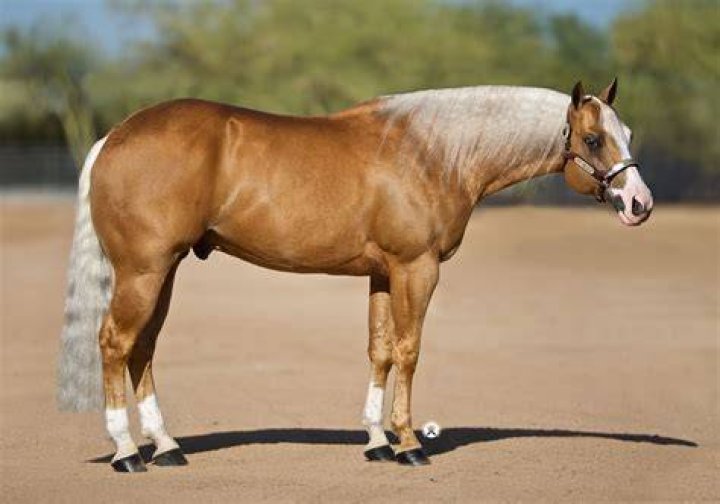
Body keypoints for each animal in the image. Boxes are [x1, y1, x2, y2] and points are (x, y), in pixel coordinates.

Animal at [57, 79, 653, 472]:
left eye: (626, 132)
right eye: (594, 140)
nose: (639, 204)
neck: (432, 152)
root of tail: (113, 136)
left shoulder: (384, 274)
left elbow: (381, 351)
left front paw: (376, 441)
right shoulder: (416, 268)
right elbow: (409, 351)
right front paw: (409, 444)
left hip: (164, 270)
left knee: (143, 347)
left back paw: (167, 448)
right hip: (143, 270)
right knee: (115, 343)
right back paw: (127, 453)